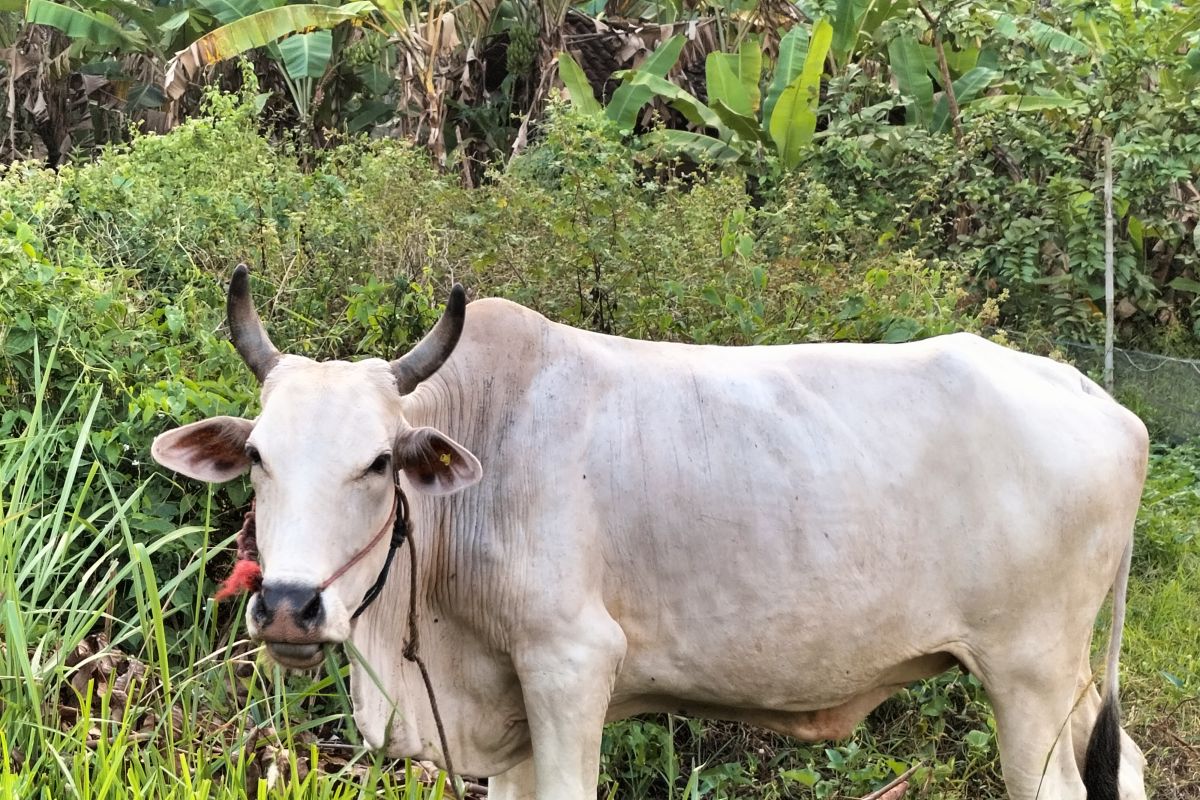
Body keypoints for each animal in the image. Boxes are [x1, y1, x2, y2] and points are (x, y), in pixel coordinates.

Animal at [154, 268, 1147, 800]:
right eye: (260, 458)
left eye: (376, 464)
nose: (289, 607)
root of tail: (1096, 398)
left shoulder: (571, 666)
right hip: (1066, 684)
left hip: (1027, 675)